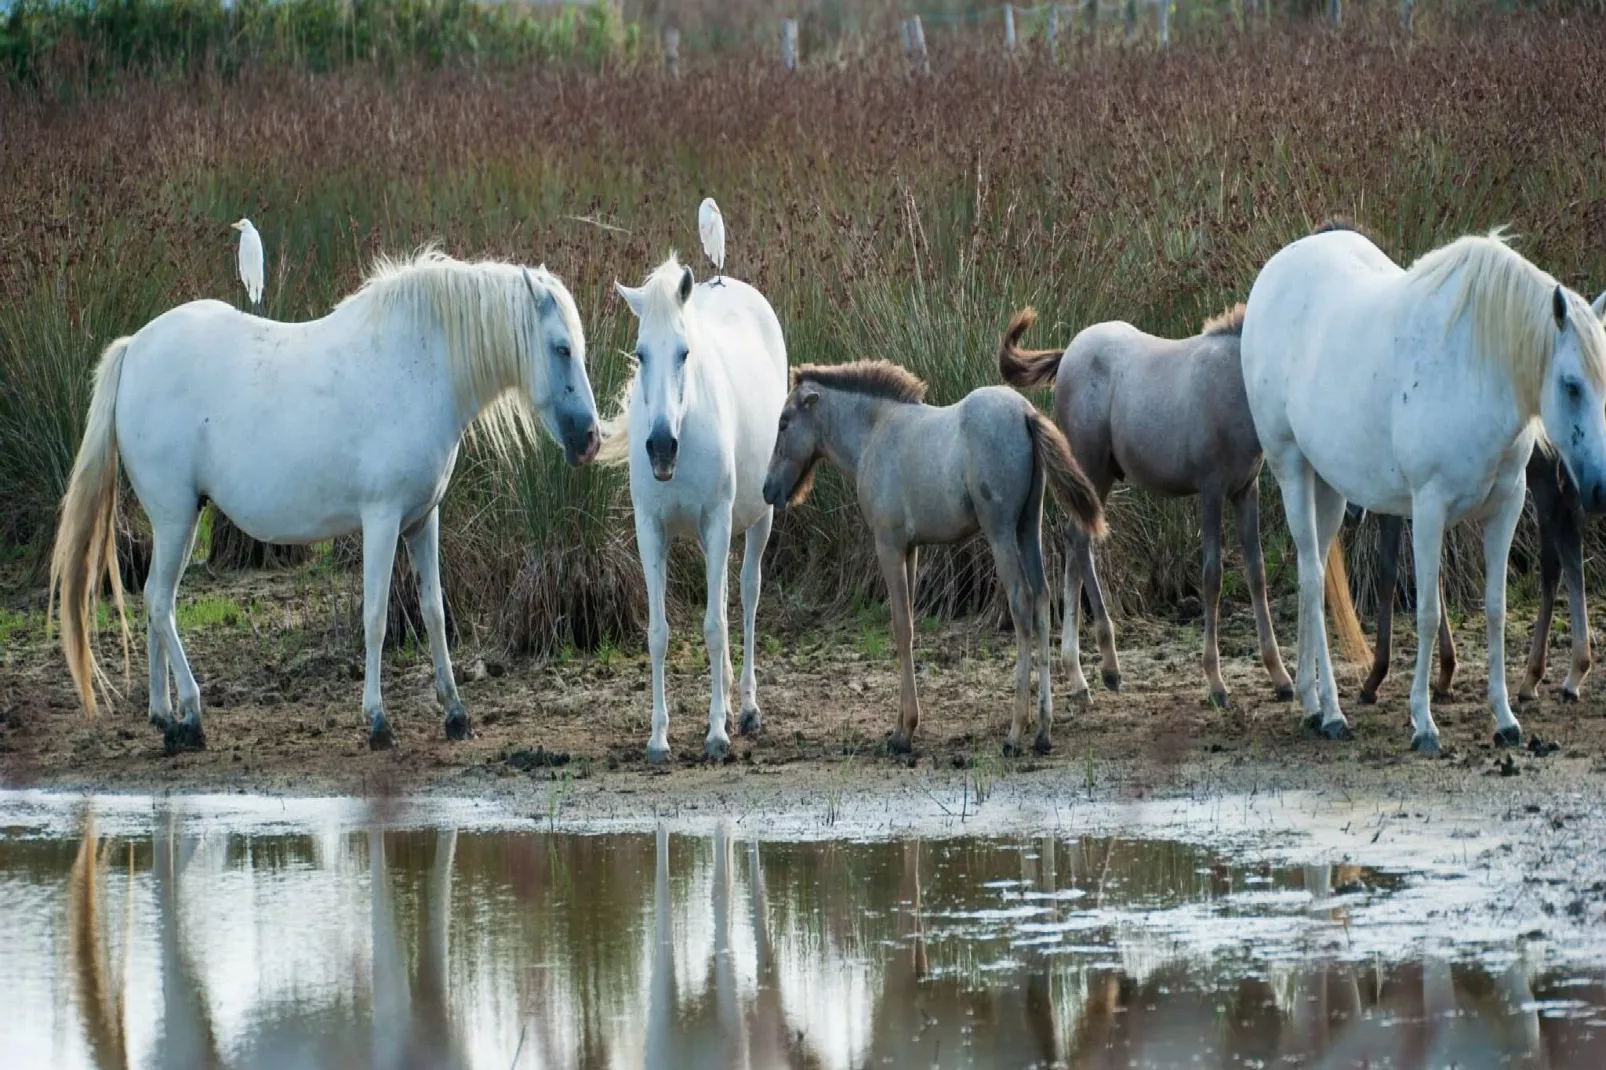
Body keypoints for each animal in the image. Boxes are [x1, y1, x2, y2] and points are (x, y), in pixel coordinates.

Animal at [55, 249, 603, 748]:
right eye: (560, 348)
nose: (590, 439)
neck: (416, 367)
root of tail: (134, 347)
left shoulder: (423, 520)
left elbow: (434, 612)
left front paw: (455, 713)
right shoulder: (381, 521)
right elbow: (376, 617)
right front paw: (378, 721)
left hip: (180, 520)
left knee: (154, 605)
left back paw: (164, 717)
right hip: (175, 519)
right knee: (159, 602)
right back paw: (190, 716)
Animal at [594, 252, 786, 758]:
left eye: (684, 353)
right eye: (640, 354)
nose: (661, 447)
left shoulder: (717, 521)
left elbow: (716, 627)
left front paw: (717, 734)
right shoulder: (651, 531)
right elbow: (659, 634)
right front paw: (658, 738)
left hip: (759, 519)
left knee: (747, 593)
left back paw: (747, 708)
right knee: (723, 596)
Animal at [761, 363, 1104, 755]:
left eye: (784, 422)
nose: (768, 489)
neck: (875, 431)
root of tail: (1025, 412)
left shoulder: (889, 544)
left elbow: (901, 626)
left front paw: (906, 729)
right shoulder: (911, 549)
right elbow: (908, 623)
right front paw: (900, 728)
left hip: (1000, 530)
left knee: (1022, 600)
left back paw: (1016, 731)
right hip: (1027, 524)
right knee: (1044, 598)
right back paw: (1044, 730)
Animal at [1002, 306, 1304, 706]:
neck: (1232, 384)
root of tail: (1068, 355)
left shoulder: (1245, 491)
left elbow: (1256, 574)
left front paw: (1280, 677)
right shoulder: (1211, 490)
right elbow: (1212, 577)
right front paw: (1216, 683)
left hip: (1102, 477)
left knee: (1077, 541)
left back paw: (1090, 673)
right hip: (1089, 468)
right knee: (1079, 540)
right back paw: (1095, 671)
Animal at [1239, 224, 1606, 755]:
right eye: (1572, 385)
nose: (1599, 489)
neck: (1476, 371)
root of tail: (1274, 271)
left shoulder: (1507, 508)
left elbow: (1495, 610)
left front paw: (1504, 719)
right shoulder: (1429, 509)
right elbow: (1429, 612)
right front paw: (1424, 723)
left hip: (1329, 485)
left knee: (1315, 579)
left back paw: (1310, 702)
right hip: (1291, 469)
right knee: (1310, 577)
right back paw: (1331, 712)